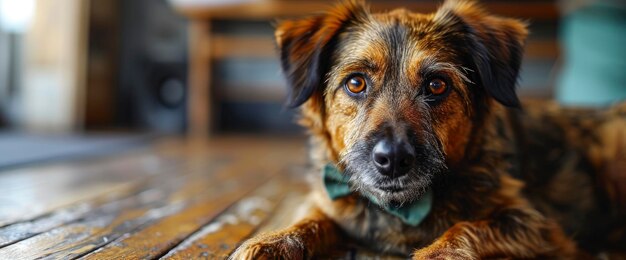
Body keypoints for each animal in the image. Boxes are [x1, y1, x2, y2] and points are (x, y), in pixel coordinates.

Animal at [229, 0, 624, 258]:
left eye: (436, 85)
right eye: (355, 83)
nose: (392, 159)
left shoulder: (538, 225)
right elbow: (309, 221)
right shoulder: (331, 203)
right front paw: (270, 242)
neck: (401, 208)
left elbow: (463, 229)